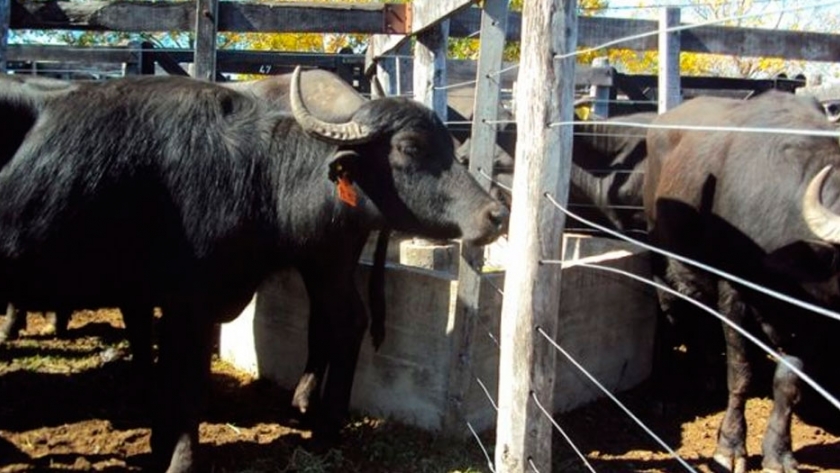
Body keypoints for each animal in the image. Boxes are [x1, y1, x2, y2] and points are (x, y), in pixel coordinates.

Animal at [0, 67, 508, 472]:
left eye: (449, 145)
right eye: (410, 147)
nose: (495, 214)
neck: (253, 172)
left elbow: (179, 380)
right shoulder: (182, 303)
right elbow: (179, 382)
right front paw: (173, 453)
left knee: (344, 319)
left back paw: (323, 421)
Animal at [643, 90, 840, 473]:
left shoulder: (816, 315)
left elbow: (789, 381)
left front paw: (779, 453)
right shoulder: (733, 293)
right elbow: (741, 372)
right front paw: (730, 447)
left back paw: (705, 375)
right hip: (663, 261)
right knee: (669, 317)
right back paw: (662, 393)